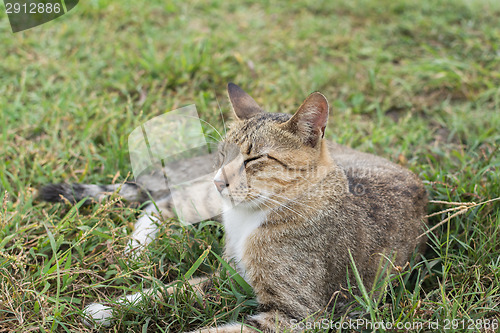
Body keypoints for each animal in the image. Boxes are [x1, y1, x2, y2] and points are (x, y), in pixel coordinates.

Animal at [41, 83, 428, 330]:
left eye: (254, 158)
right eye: (223, 153)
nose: (219, 180)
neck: (253, 218)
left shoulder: (298, 313)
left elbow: (189, 302)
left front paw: (108, 309)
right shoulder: (231, 273)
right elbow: (171, 289)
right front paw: (110, 307)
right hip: (201, 199)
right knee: (165, 201)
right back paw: (138, 247)